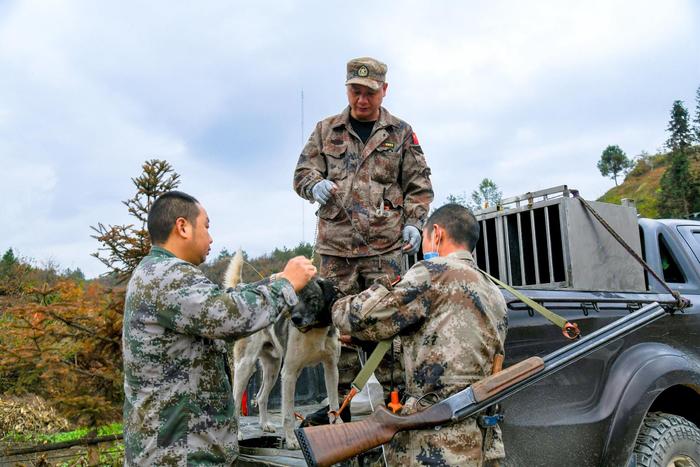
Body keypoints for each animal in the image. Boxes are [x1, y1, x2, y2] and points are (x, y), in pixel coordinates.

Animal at [224, 250, 342, 452]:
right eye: (292, 300)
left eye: (311, 299)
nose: (295, 319)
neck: (314, 329)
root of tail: (241, 288)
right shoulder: (289, 374)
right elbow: (287, 414)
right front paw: (291, 440)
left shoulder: (331, 368)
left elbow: (334, 404)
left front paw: (339, 426)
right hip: (244, 368)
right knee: (236, 401)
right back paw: (237, 434)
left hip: (272, 367)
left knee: (261, 396)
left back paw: (264, 424)